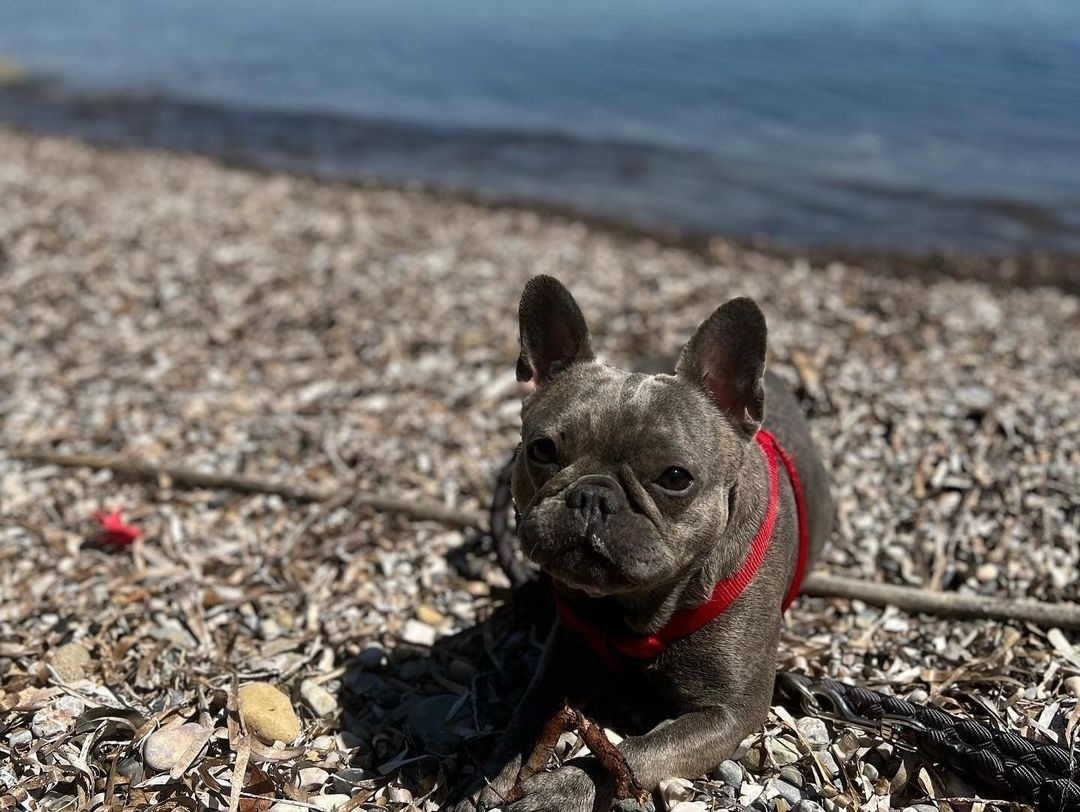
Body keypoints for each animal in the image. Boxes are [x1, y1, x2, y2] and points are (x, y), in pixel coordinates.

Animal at [451, 276, 829, 807]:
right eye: (541, 450)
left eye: (675, 478)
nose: (592, 495)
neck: (635, 608)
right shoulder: (562, 660)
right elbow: (529, 713)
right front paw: (492, 774)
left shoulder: (728, 714)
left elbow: (633, 752)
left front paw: (559, 792)